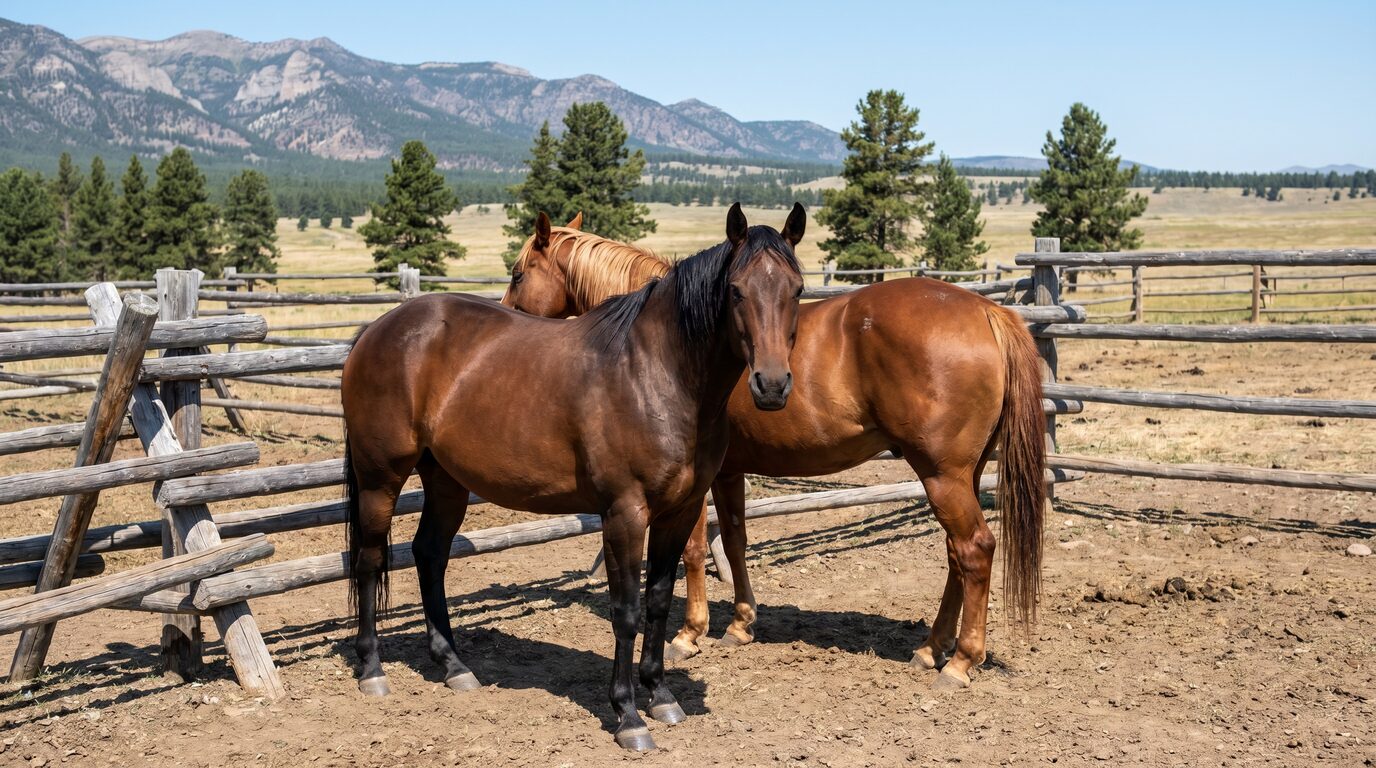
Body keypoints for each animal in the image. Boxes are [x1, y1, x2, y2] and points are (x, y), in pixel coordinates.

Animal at [342, 204, 805, 750]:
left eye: (797, 290)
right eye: (735, 290)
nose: (772, 385)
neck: (654, 372)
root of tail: (376, 330)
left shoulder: (680, 510)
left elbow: (658, 601)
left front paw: (661, 695)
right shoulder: (624, 514)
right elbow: (626, 610)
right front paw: (628, 715)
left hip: (446, 481)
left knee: (429, 554)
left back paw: (454, 666)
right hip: (380, 478)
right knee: (370, 560)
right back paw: (372, 669)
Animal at [502, 209, 1046, 690]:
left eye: (517, 272)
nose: (507, 320)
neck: (672, 339)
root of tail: (988, 310)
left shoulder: (692, 484)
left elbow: (694, 551)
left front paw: (689, 633)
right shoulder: (727, 473)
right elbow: (735, 541)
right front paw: (741, 624)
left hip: (942, 475)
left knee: (975, 549)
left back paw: (961, 662)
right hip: (962, 474)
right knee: (957, 554)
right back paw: (931, 648)